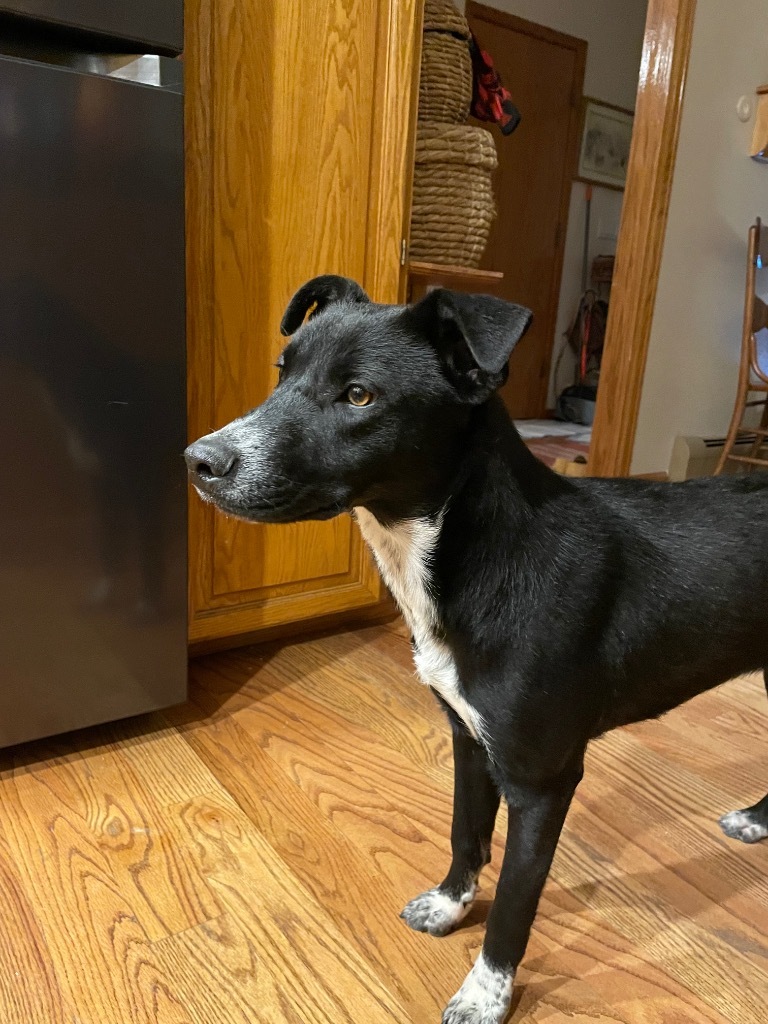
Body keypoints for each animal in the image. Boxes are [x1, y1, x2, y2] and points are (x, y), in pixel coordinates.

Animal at [186, 276, 768, 1024]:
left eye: (359, 396)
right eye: (281, 373)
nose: (199, 461)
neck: (473, 549)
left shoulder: (543, 781)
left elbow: (516, 905)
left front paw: (486, 993)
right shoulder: (468, 736)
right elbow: (466, 831)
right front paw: (448, 904)